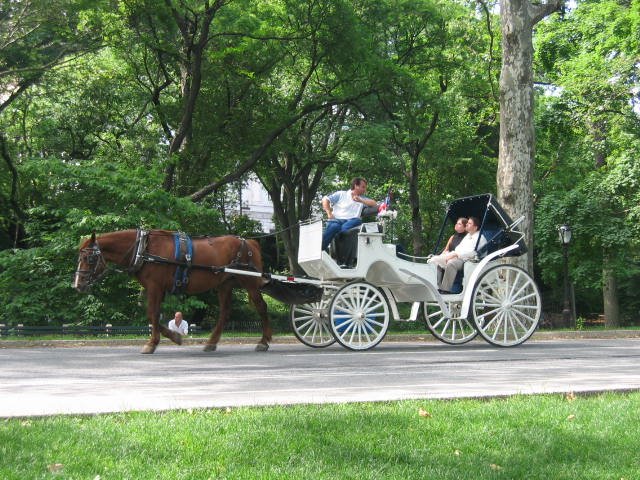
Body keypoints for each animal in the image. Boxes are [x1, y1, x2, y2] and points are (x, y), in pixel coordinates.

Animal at [74, 231, 272, 354]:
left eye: (89, 258)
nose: (77, 284)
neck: (144, 250)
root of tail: (250, 242)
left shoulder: (155, 286)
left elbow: (152, 313)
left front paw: (152, 343)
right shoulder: (157, 289)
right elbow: (154, 315)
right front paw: (174, 337)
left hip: (250, 282)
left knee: (262, 307)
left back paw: (264, 341)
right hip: (225, 285)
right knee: (224, 313)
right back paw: (211, 342)